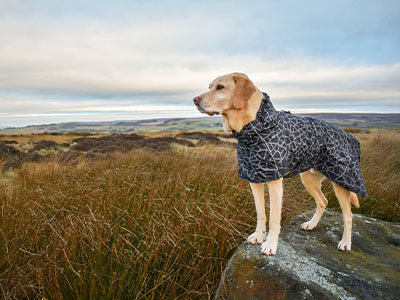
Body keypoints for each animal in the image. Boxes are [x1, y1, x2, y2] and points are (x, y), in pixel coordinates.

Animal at [193, 72, 366, 255]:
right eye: (210, 86)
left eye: (220, 87)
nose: (195, 100)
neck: (255, 129)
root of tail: (347, 135)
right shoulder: (255, 179)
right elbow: (261, 213)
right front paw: (258, 236)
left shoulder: (275, 181)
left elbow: (274, 219)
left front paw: (270, 244)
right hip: (309, 180)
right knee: (323, 202)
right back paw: (311, 224)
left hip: (342, 182)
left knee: (348, 215)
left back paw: (345, 242)